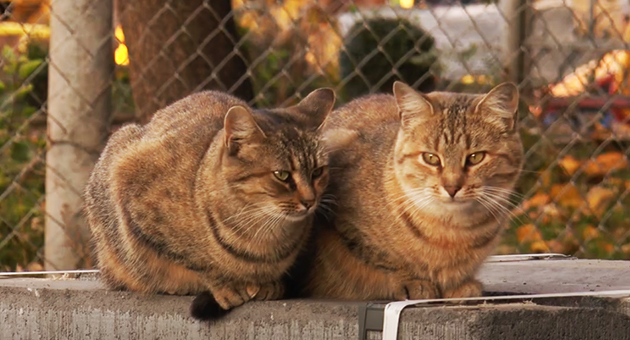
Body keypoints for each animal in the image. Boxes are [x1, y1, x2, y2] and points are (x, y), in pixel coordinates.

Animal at [86, 87, 338, 318]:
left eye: (317, 171)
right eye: (282, 175)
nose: (310, 200)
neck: (264, 237)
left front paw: (269, 284)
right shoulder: (132, 195)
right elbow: (194, 260)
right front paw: (225, 284)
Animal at [294, 81, 524, 302]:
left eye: (476, 157)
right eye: (431, 158)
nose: (452, 187)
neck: (451, 230)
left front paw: (459, 285)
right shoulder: (346, 225)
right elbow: (381, 259)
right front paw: (410, 282)